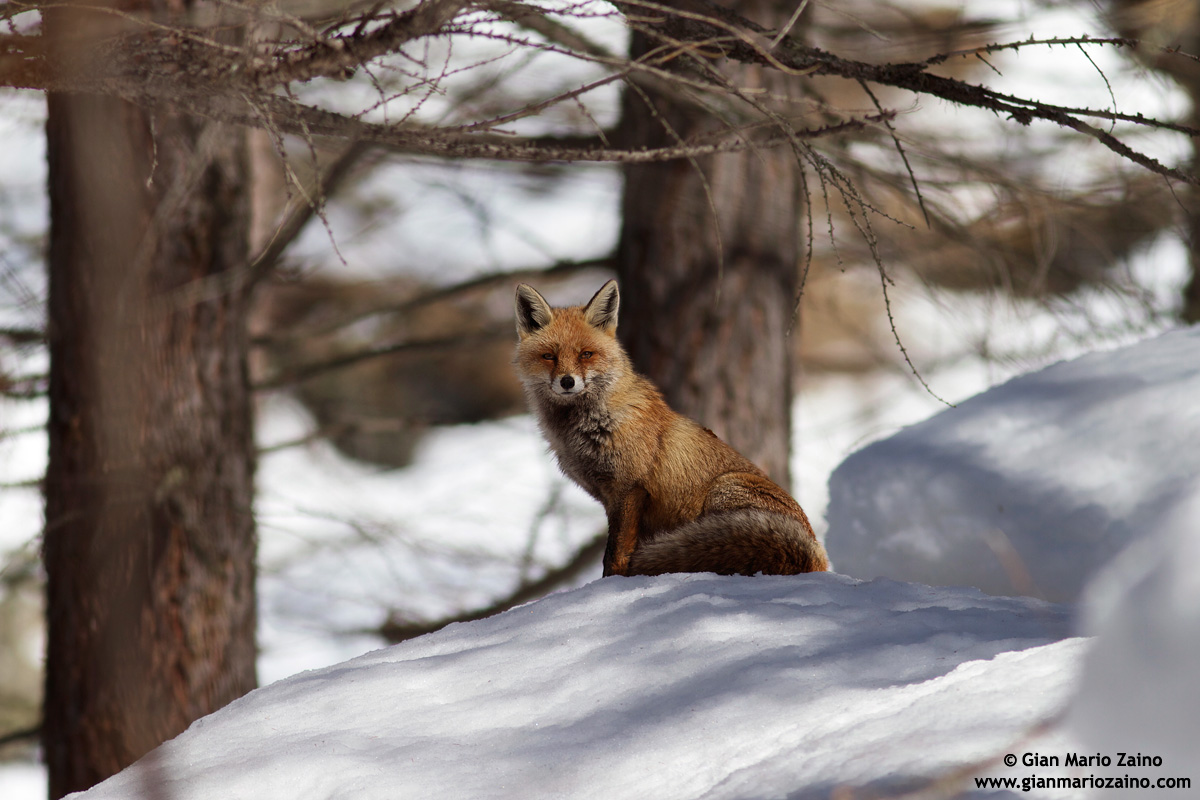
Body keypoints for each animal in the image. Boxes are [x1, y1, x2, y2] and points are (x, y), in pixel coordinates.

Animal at [513, 279, 829, 577]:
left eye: (586, 354)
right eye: (549, 356)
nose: (567, 382)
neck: (589, 427)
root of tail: (816, 555)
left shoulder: (629, 488)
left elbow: (615, 555)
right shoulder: (612, 498)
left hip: (722, 489)